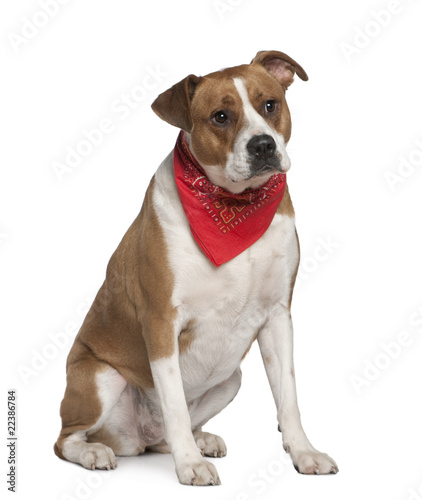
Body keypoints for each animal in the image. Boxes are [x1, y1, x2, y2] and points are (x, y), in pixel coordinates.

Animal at [54, 49, 338, 484]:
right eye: (220, 116)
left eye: (270, 105)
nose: (263, 145)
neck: (235, 208)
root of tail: (136, 439)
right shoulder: (161, 321)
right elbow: (173, 402)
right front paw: (189, 465)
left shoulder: (277, 317)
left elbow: (288, 396)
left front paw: (304, 452)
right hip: (100, 378)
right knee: (68, 438)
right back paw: (95, 452)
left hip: (231, 378)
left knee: (169, 434)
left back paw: (201, 438)